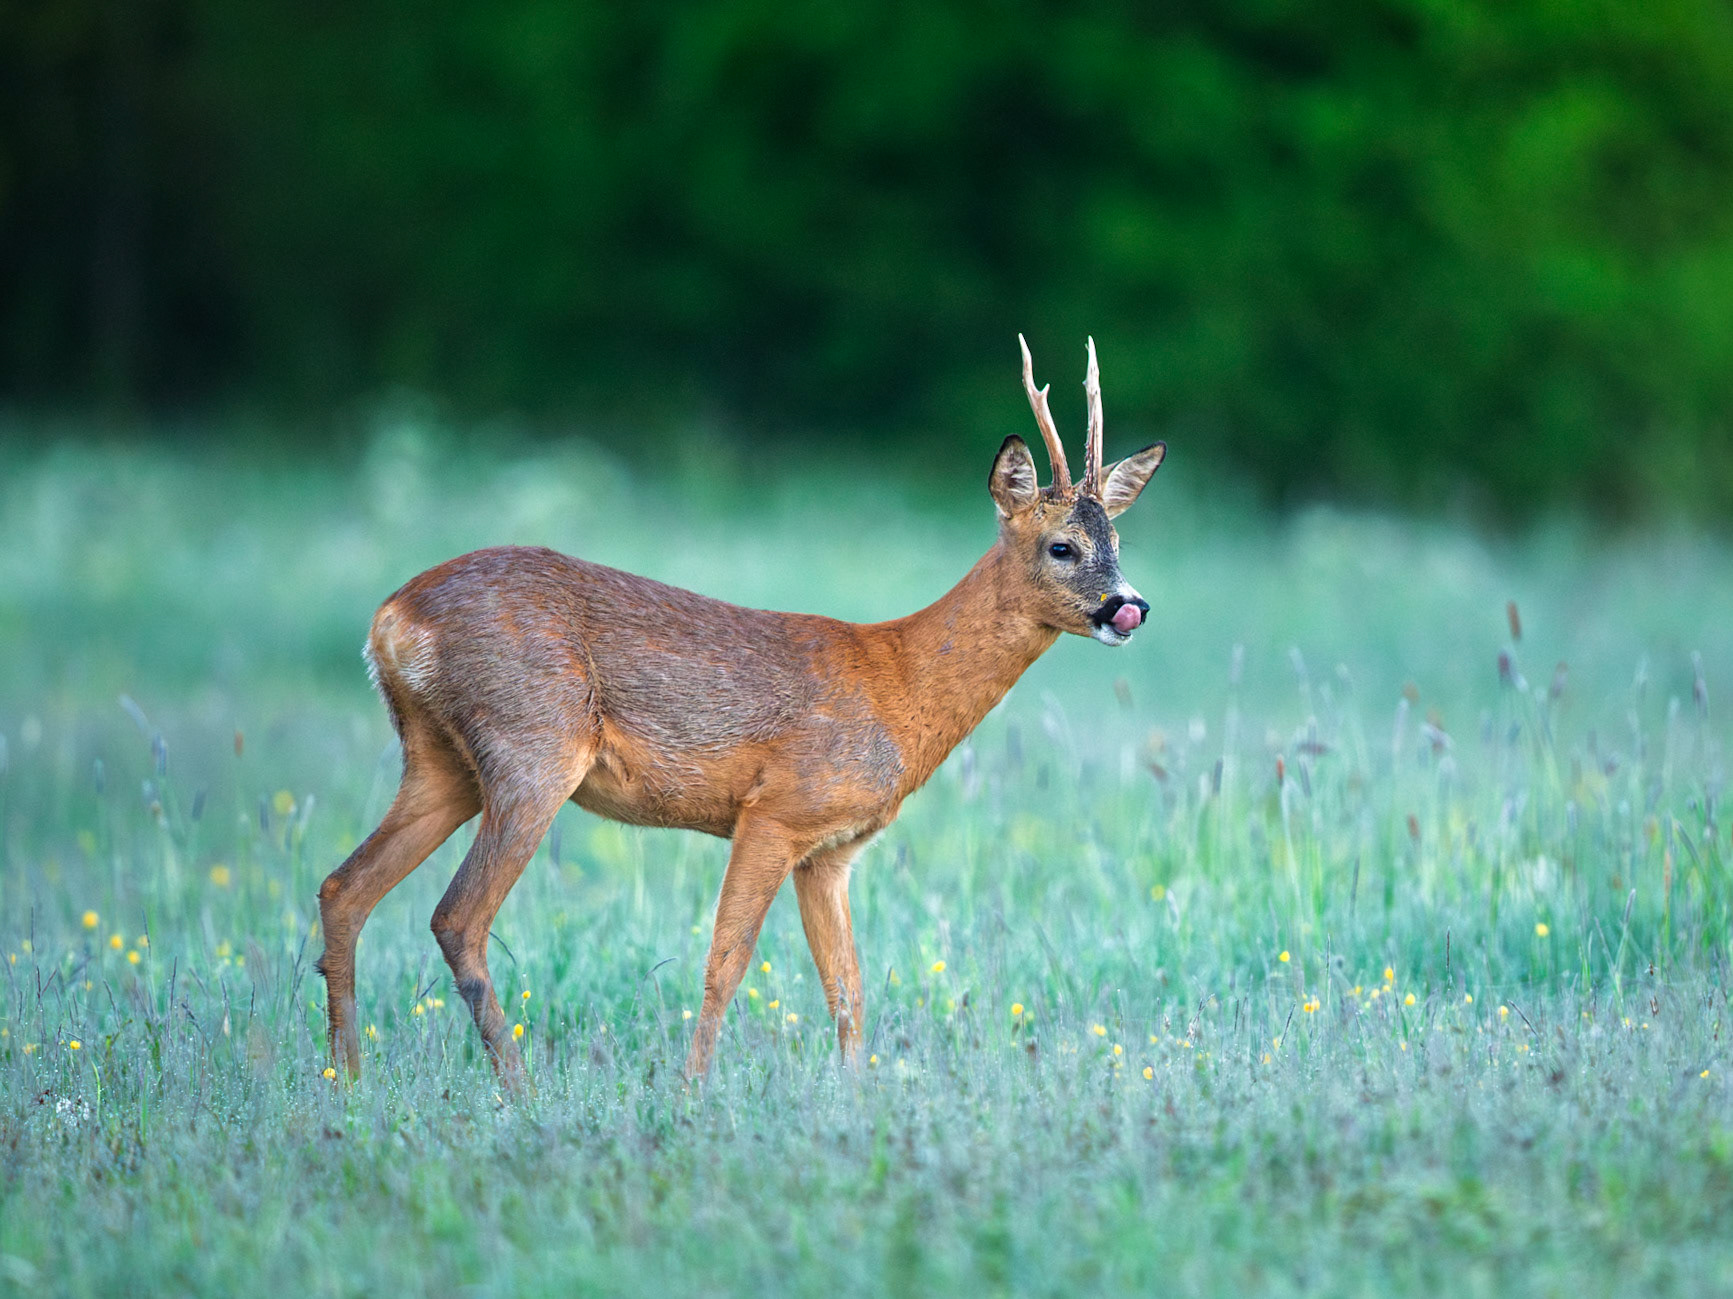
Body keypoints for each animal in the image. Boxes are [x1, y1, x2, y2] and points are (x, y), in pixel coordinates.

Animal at [314, 336, 1166, 1086]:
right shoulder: (775, 811)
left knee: (343, 887)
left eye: (1118, 541)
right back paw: (518, 1091)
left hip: (442, 760)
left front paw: (854, 1102)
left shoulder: (831, 851)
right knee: (456, 916)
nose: (1128, 605)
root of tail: (390, 618)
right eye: (1061, 546)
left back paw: (349, 1081)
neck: (897, 685)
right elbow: (724, 965)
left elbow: (848, 990)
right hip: (533, 746)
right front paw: (692, 1093)